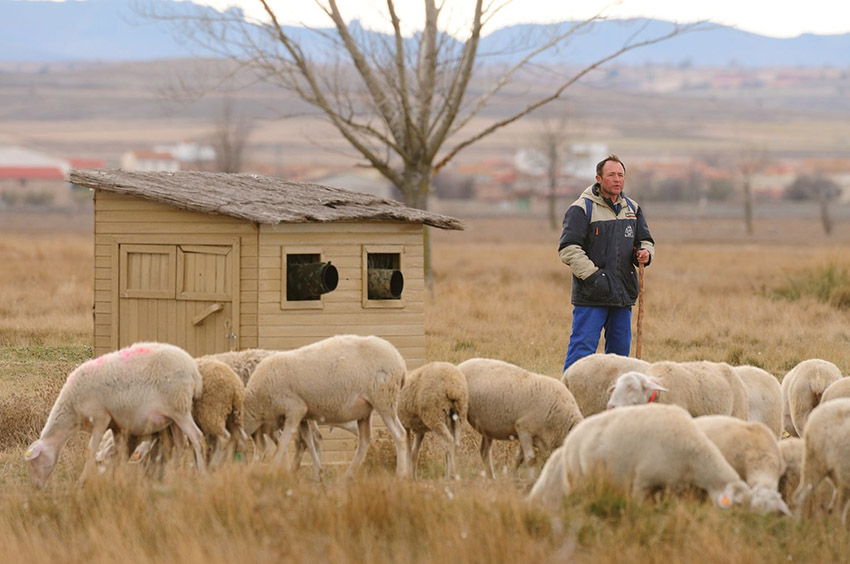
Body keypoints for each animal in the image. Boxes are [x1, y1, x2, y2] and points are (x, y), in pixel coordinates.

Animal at [24, 340, 204, 490]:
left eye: (35, 462)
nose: (36, 488)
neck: (72, 410)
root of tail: (194, 370)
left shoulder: (100, 418)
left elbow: (91, 450)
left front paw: (81, 482)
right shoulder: (116, 424)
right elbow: (120, 452)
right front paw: (119, 478)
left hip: (180, 408)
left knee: (197, 438)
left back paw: (202, 473)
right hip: (173, 417)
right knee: (180, 445)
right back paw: (173, 476)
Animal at [240, 338, 410, 478]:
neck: (257, 404)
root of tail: (401, 361)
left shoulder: (295, 409)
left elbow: (283, 442)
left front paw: (273, 471)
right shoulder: (303, 415)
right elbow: (308, 440)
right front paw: (317, 472)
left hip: (384, 398)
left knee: (400, 434)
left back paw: (401, 475)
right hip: (365, 410)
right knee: (364, 441)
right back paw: (348, 476)